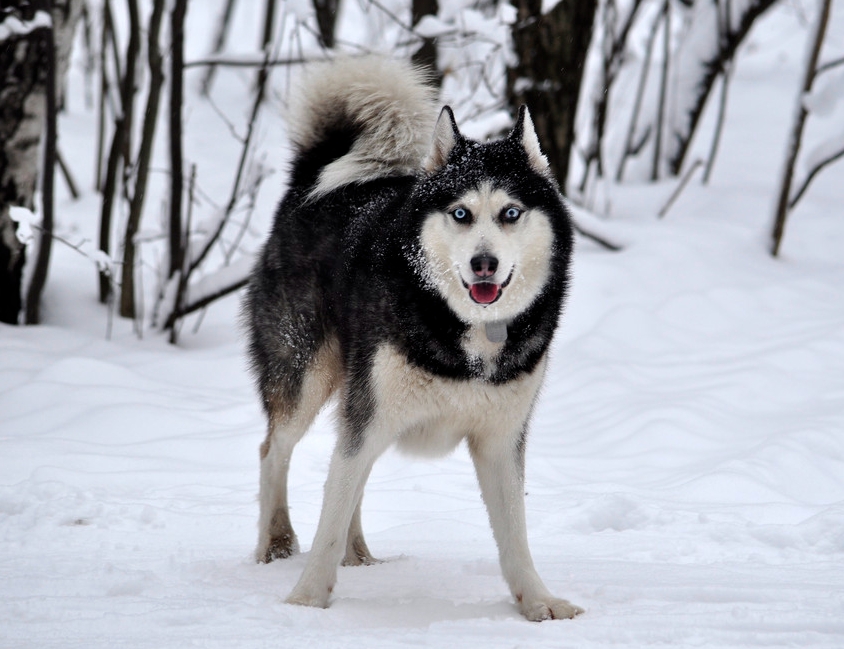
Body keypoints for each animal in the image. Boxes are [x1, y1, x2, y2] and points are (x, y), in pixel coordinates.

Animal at [244, 55, 580, 616]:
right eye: (461, 213)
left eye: (510, 213)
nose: (483, 263)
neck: (469, 333)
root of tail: (310, 180)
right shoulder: (369, 417)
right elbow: (329, 514)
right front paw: (308, 600)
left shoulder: (500, 439)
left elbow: (515, 536)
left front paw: (537, 602)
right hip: (306, 377)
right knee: (274, 450)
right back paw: (275, 543)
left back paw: (358, 553)